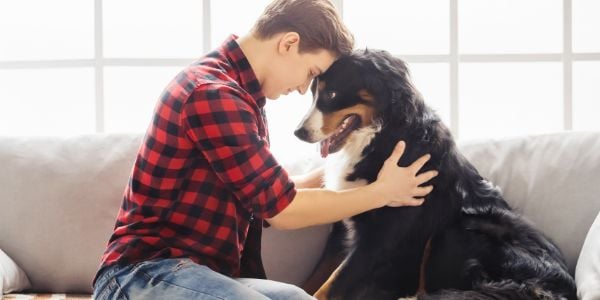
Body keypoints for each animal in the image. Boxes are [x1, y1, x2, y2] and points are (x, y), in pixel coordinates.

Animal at [294, 49, 576, 300]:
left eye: (331, 93)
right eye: (313, 94)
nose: (298, 133)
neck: (384, 136)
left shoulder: (378, 237)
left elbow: (332, 285)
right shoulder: (343, 224)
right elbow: (314, 278)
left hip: (457, 229)